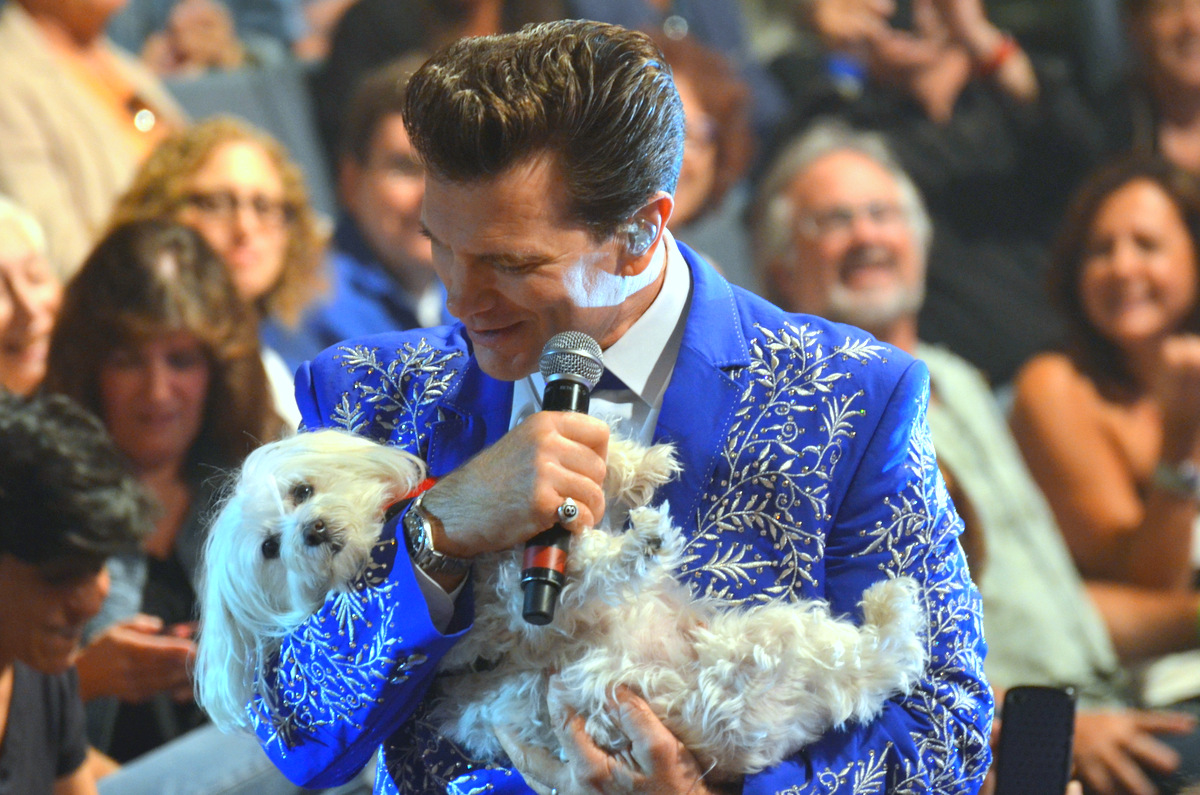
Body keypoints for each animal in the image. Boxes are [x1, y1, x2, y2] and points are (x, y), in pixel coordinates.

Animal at [196, 427, 926, 782]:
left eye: (301, 490)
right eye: (269, 548)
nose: (311, 531)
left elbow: (580, 481)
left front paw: (635, 464)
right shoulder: (516, 615)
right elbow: (583, 574)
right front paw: (641, 542)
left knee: (868, 670)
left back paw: (891, 607)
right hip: (692, 677)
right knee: (855, 668)